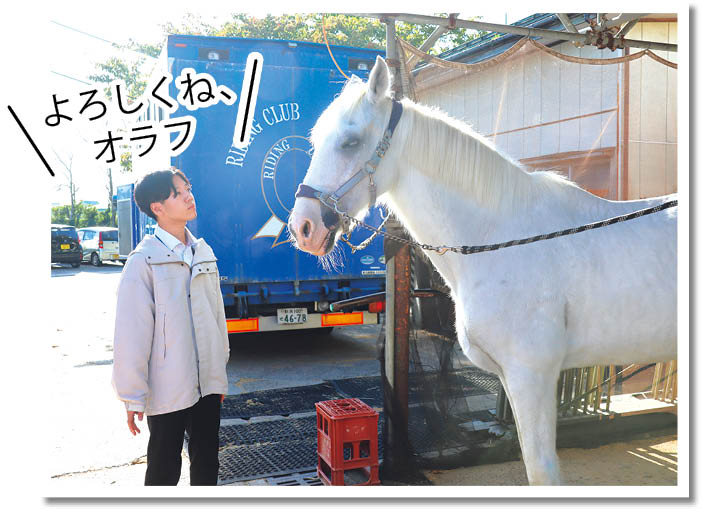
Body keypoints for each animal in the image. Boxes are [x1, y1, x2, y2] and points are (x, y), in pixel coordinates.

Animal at [288, 56, 677, 485]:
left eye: (350, 142)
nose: (303, 227)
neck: (503, 237)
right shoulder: (513, 378)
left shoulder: (532, 375)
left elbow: (542, 472)